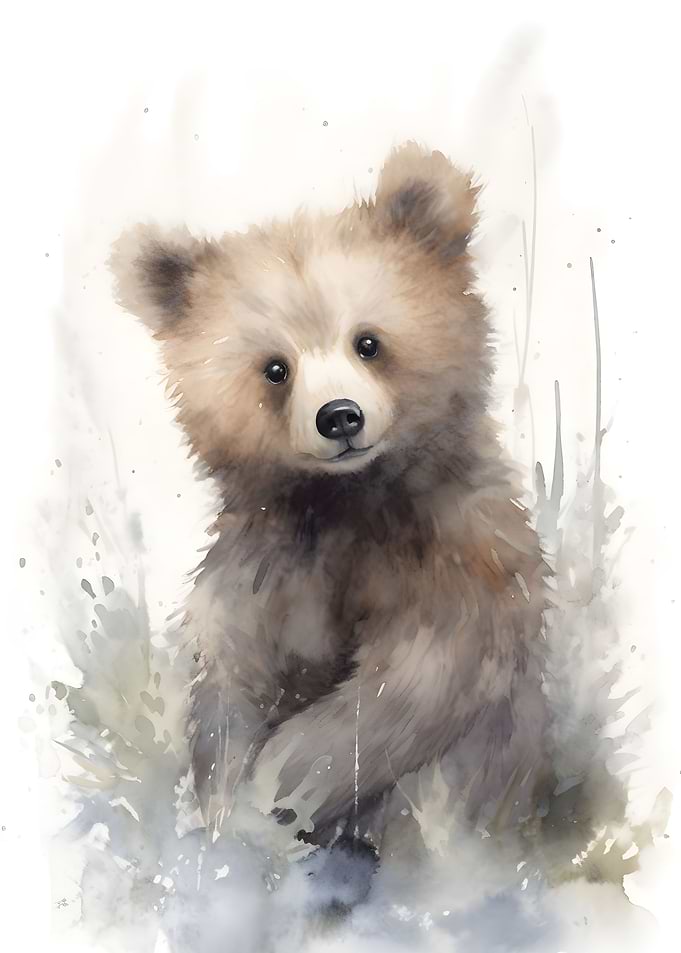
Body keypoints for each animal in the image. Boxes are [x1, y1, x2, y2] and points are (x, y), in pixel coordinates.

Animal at [109, 142, 551, 862]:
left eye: (367, 341)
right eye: (275, 368)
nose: (339, 417)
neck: (345, 503)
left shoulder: (453, 553)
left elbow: (410, 685)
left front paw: (280, 784)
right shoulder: (264, 567)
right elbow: (229, 690)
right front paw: (229, 811)